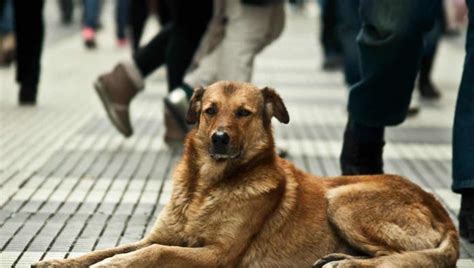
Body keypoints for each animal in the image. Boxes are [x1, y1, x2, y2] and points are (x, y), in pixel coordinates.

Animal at [35, 81, 462, 268]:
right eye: (210, 110)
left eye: (244, 112)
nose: (220, 139)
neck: (205, 188)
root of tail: (442, 210)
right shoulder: (159, 234)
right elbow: (111, 247)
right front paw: (62, 262)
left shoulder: (219, 254)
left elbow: (149, 254)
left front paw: (110, 267)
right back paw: (339, 258)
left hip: (343, 199)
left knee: (402, 258)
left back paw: (346, 263)